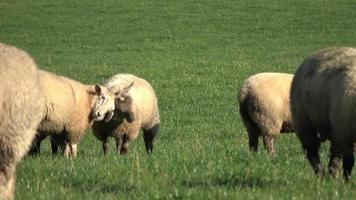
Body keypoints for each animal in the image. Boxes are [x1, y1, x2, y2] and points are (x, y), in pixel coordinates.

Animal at [290, 46, 356, 180]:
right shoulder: (343, 134)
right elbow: (349, 160)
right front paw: (347, 180)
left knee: (334, 154)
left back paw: (331, 174)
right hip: (303, 121)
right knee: (312, 150)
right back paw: (322, 174)